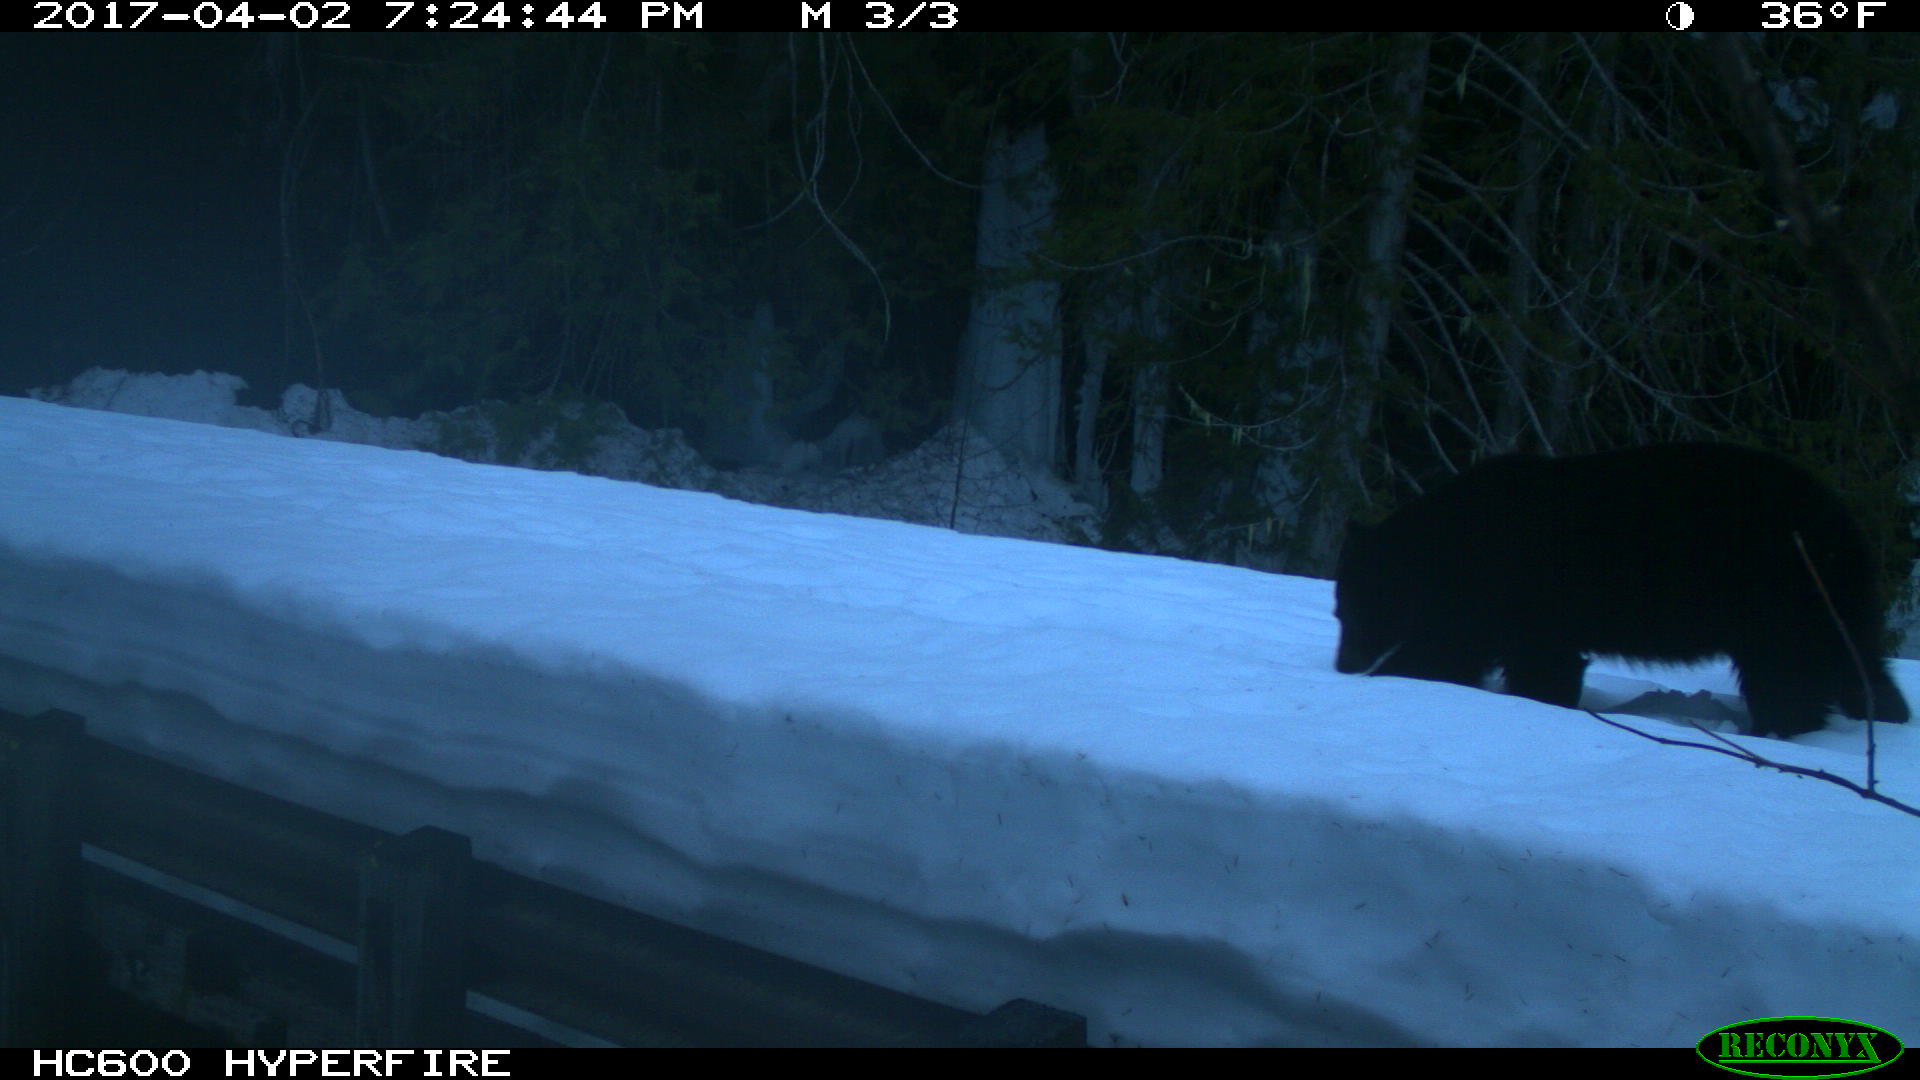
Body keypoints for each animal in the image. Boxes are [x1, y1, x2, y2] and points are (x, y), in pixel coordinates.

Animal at [1333, 443, 1909, 738]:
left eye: (1349, 608)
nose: (1341, 662)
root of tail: (1844, 524)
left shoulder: (1503, 586)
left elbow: (1458, 650)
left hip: (1779, 592)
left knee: (1787, 672)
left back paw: (1772, 730)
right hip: (1832, 599)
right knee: (1858, 657)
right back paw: (1885, 709)